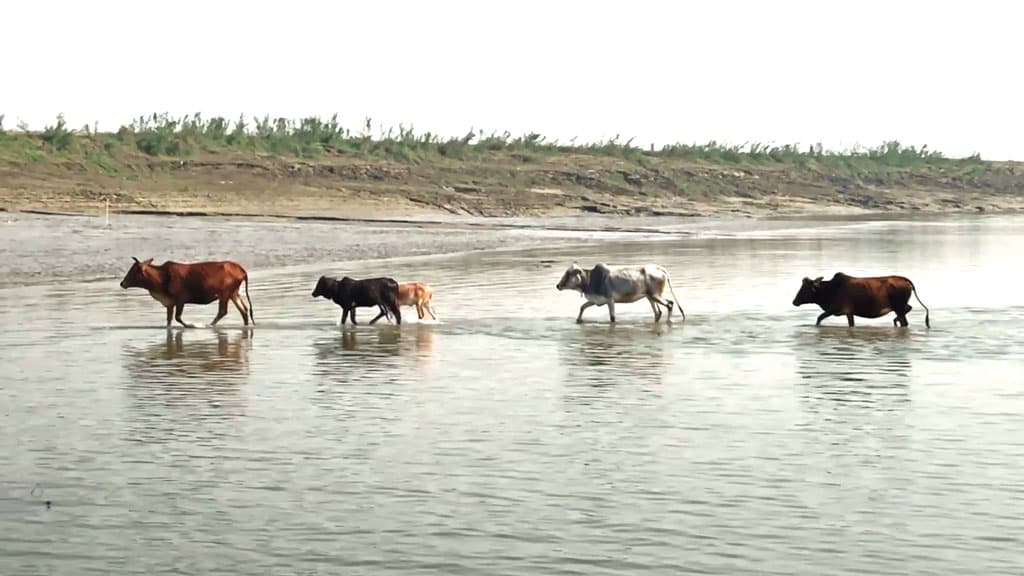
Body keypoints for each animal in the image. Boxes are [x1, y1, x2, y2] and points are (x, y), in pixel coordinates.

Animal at [119, 256, 253, 327]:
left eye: (133, 271)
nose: (122, 283)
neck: (160, 278)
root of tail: (241, 269)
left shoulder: (180, 300)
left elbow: (178, 318)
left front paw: (191, 325)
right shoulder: (170, 303)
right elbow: (169, 320)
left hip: (224, 294)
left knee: (223, 311)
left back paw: (209, 325)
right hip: (234, 293)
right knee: (244, 311)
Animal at [794, 272, 933, 327]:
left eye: (804, 288)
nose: (794, 302)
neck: (830, 289)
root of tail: (905, 280)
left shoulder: (835, 310)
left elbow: (819, 318)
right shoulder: (849, 313)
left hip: (898, 307)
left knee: (905, 321)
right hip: (900, 306)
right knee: (908, 309)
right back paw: (895, 320)